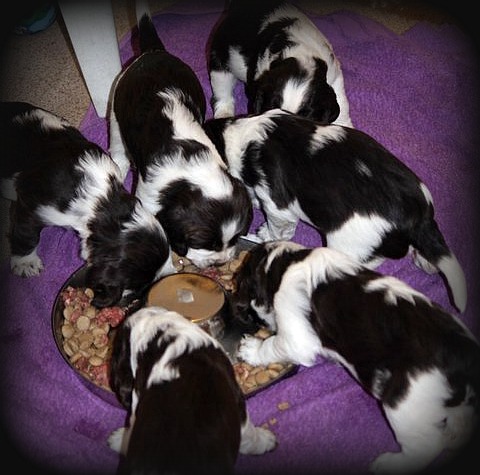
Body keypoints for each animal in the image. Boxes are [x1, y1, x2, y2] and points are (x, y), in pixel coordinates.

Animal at [109, 1, 253, 269]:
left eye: (235, 238)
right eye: (204, 243)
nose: (219, 263)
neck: (190, 172)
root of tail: (153, 51)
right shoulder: (148, 197)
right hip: (115, 108)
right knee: (116, 143)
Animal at [203, 108, 467, 313]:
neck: (243, 134)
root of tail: (417, 218)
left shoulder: (278, 207)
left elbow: (278, 229)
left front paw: (264, 234)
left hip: (348, 246)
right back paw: (425, 261)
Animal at [208, 0, 352, 126]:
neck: (299, 53)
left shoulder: (334, 73)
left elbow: (341, 103)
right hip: (220, 55)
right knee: (222, 89)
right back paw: (224, 114)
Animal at [230, 240, 479, 474]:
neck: (285, 263)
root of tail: (463, 357)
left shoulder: (296, 337)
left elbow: (272, 345)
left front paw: (251, 348)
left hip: (405, 405)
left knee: (425, 446)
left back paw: (388, 464)